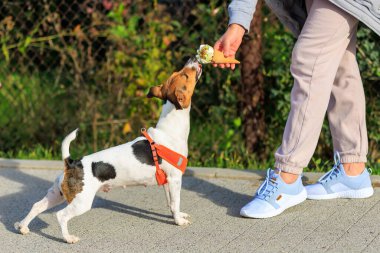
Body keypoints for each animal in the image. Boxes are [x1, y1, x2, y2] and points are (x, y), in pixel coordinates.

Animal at [15, 57, 202, 243]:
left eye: (180, 73)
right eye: (185, 75)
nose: (192, 58)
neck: (169, 129)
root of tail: (72, 163)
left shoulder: (167, 183)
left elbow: (171, 204)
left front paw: (177, 216)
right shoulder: (175, 179)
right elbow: (176, 202)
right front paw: (179, 221)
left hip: (57, 194)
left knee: (37, 206)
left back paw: (23, 227)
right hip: (81, 202)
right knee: (61, 215)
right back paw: (68, 238)